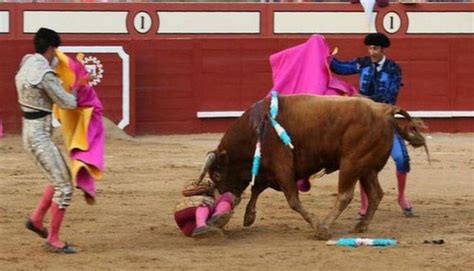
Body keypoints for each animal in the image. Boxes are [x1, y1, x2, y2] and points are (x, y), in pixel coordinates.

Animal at [198, 95, 428, 240]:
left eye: (217, 173)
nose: (221, 201)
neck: (256, 128)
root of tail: (384, 109)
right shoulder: (268, 170)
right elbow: (256, 189)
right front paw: (248, 216)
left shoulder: (282, 166)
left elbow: (292, 200)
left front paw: (316, 225)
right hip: (367, 167)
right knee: (376, 194)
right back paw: (361, 225)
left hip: (351, 163)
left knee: (345, 195)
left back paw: (324, 228)